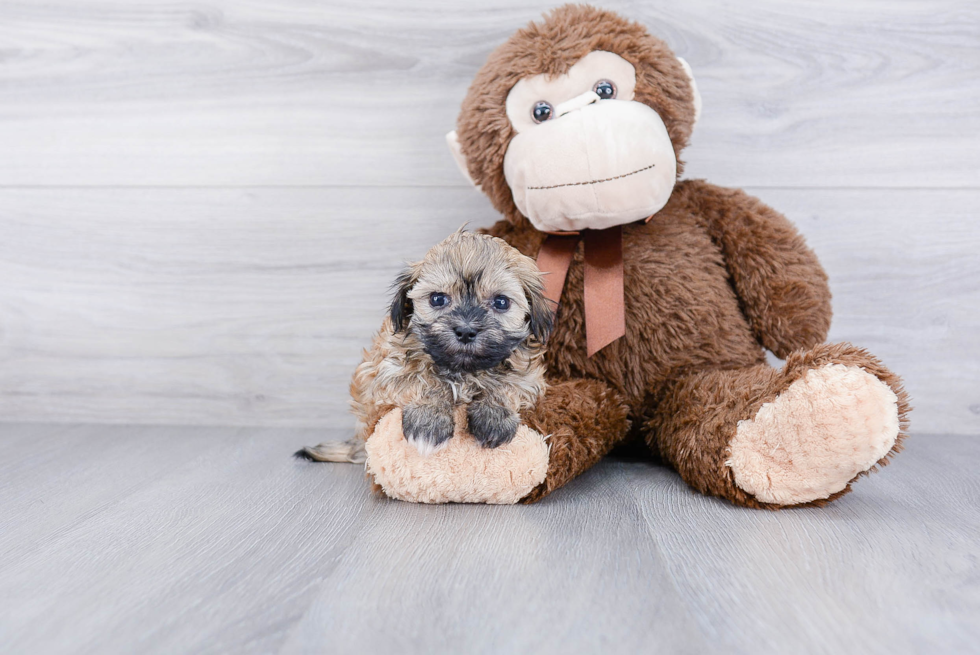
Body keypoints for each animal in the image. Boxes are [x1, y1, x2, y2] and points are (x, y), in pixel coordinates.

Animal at [294, 229, 556, 462]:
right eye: (438, 299)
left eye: (501, 302)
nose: (465, 331)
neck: (463, 371)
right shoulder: (386, 373)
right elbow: (426, 379)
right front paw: (429, 422)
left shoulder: (530, 378)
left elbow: (507, 384)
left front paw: (494, 418)